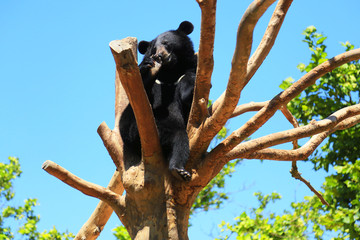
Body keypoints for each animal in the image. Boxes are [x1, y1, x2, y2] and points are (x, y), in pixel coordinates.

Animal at [119, 21, 195, 181]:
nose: (159, 55)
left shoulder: (189, 69)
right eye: (153, 48)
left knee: (179, 141)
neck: (171, 72)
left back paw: (179, 170)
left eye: (166, 42)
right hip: (135, 129)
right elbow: (139, 92)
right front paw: (148, 68)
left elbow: (189, 95)